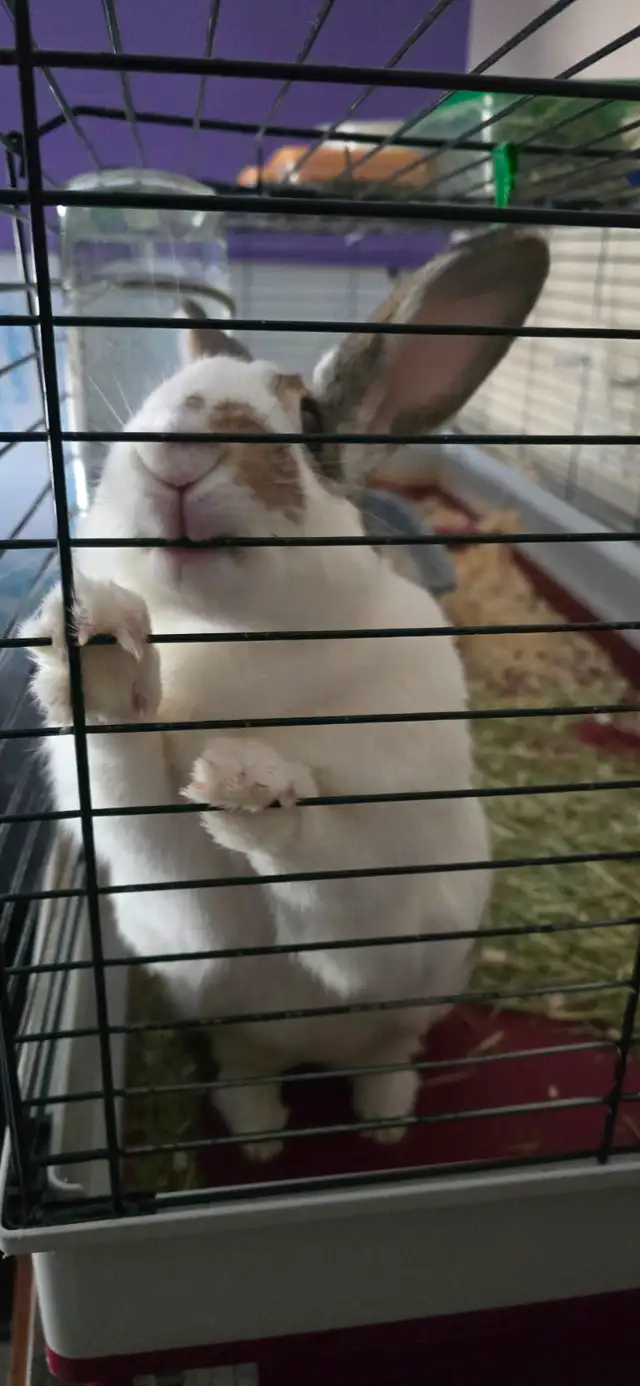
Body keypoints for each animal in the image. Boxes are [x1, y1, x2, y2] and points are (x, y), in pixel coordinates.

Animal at [23, 227, 549, 1161]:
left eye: (308, 424)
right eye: (150, 406)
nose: (177, 450)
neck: (238, 639)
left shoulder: (387, 896)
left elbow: (329, 868)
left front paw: (249, 784)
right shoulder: (179, 905)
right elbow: (134, 790)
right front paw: (102, 646)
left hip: (416, 1000)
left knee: (385, 1054)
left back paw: (383, 1123)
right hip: (235, 1028)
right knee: (250, 1071)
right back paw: (261, 1137)